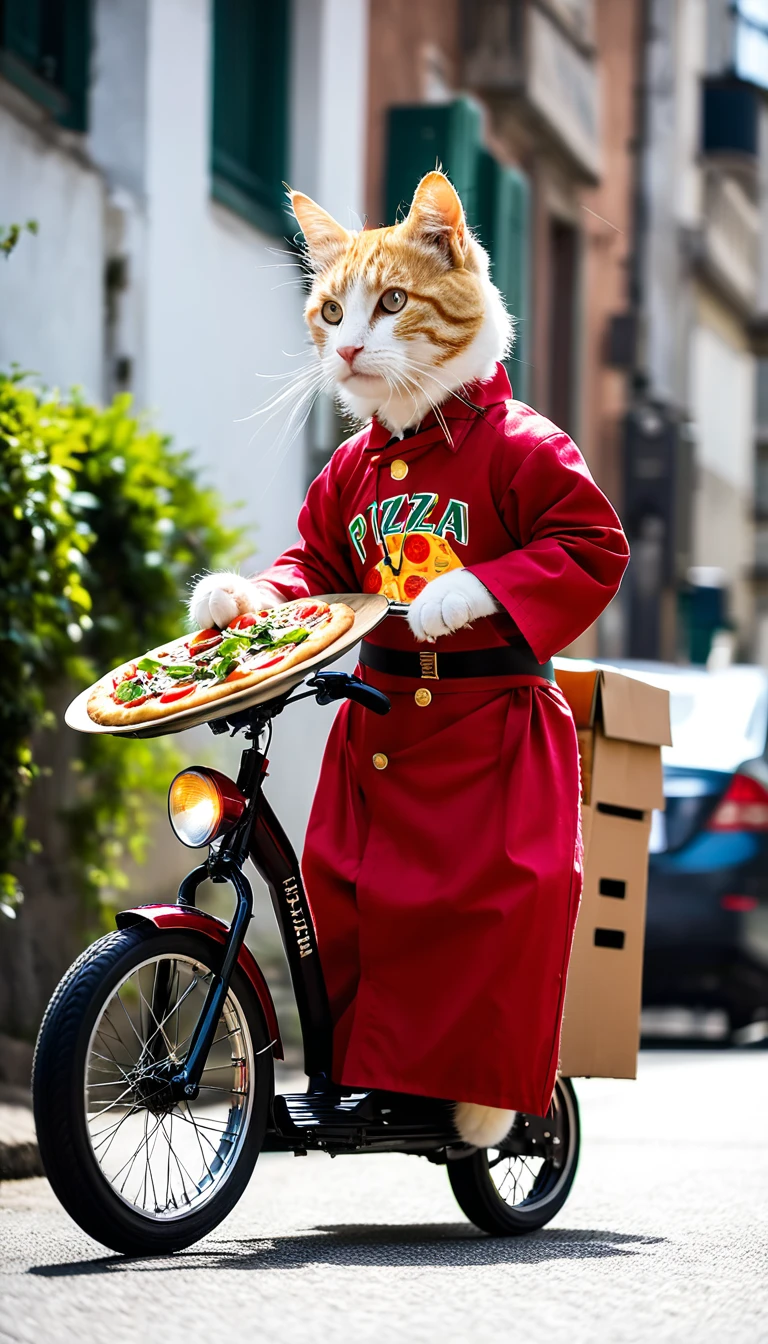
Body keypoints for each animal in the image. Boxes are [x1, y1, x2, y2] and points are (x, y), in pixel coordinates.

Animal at [189, 173, 519, 1150]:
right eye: (332, 311)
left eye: (395, 303)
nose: (346, 348)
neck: (416, 435)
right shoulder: (329, 517)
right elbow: (308, 563)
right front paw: (228, 600)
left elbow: (580, 553)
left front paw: (448, 599)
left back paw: (485, 1116)